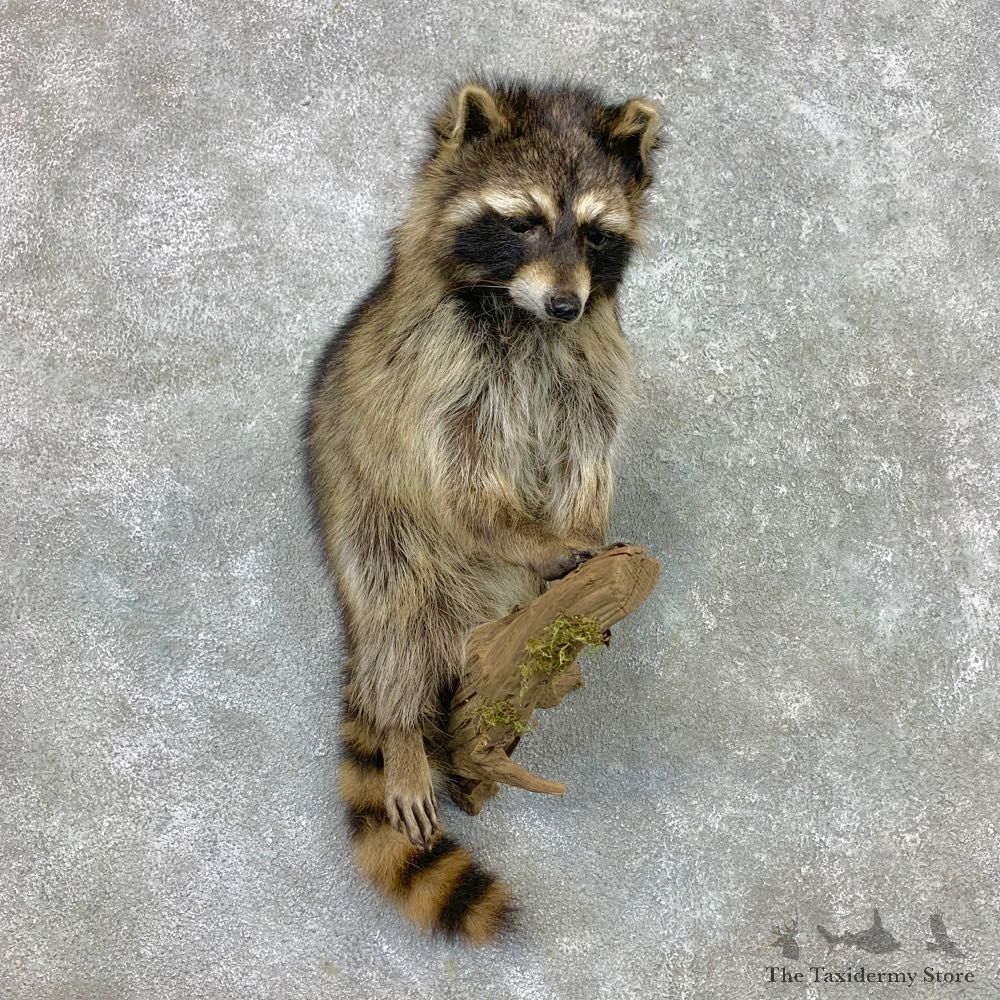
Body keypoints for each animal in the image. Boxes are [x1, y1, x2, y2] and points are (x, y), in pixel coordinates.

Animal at [304, 77, 658, 944]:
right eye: (523, 220)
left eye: (595, 232)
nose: (565, 303)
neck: (524, 314)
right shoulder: (435, 369)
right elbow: (455, 476)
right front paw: (527, 538)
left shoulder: (587, 359)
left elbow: (584, 451)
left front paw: (583, 528)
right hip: (368, 529)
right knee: (398, 607)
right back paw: (401, 725)